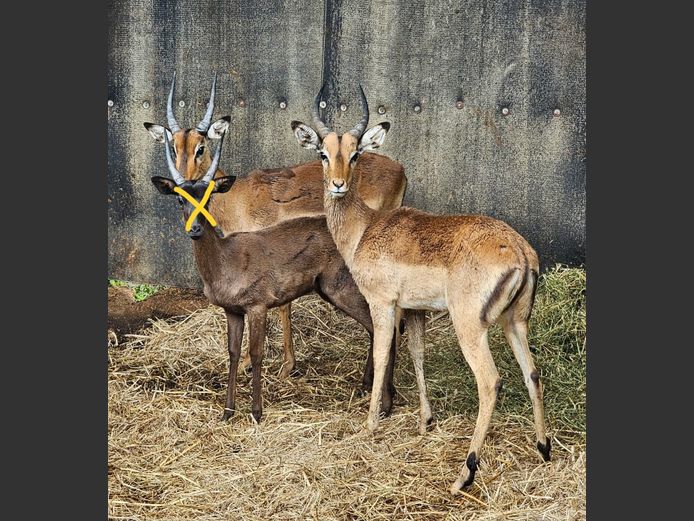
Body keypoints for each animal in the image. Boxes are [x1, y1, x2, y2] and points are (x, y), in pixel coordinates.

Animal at [144, 73, 407, 389]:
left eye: (201, 147)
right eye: (173, 147)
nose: (183, 183)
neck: (237, 198)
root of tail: (401, 170)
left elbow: (282, 307)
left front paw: (278, 365)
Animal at [291, 85, 551, 493]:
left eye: (355, 153)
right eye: (323, 153)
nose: (337, 185)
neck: (365, 229)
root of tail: (521, 252)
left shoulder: (383, 304)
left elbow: (383, 355)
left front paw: (370, 424)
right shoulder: (416, 311)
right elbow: (417, 354)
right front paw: (426, 420)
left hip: (470, 328)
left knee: (490, 382)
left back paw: (465, 474)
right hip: (515, 323)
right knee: (532, 374)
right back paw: (543, 448)